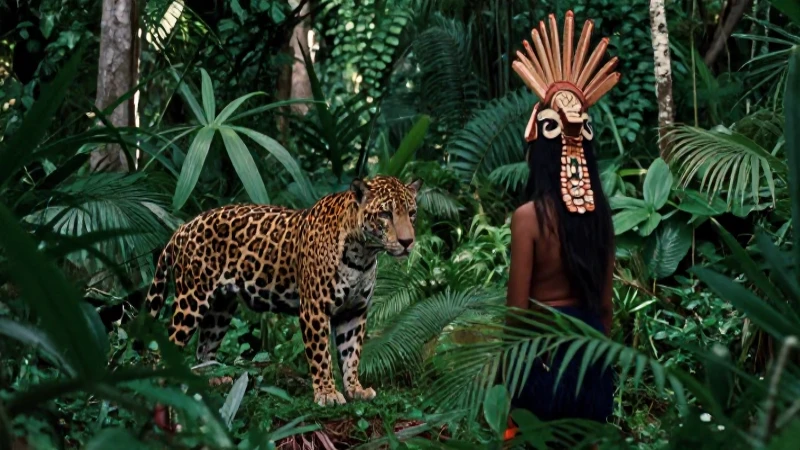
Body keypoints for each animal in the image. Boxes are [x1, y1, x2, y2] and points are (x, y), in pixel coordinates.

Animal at [143, 175, 422, 406]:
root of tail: (183, 228)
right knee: (169, 343)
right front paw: (327, 393)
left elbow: (351, 353)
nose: (408, 242)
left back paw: (212, 379)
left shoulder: (354, 311)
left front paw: (355, 389)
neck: (362, 254)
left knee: (204, 348)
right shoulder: (314, 309)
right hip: (192, 299)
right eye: (385, 214)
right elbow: (321, 355)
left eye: (412, 213)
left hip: (220, 309)